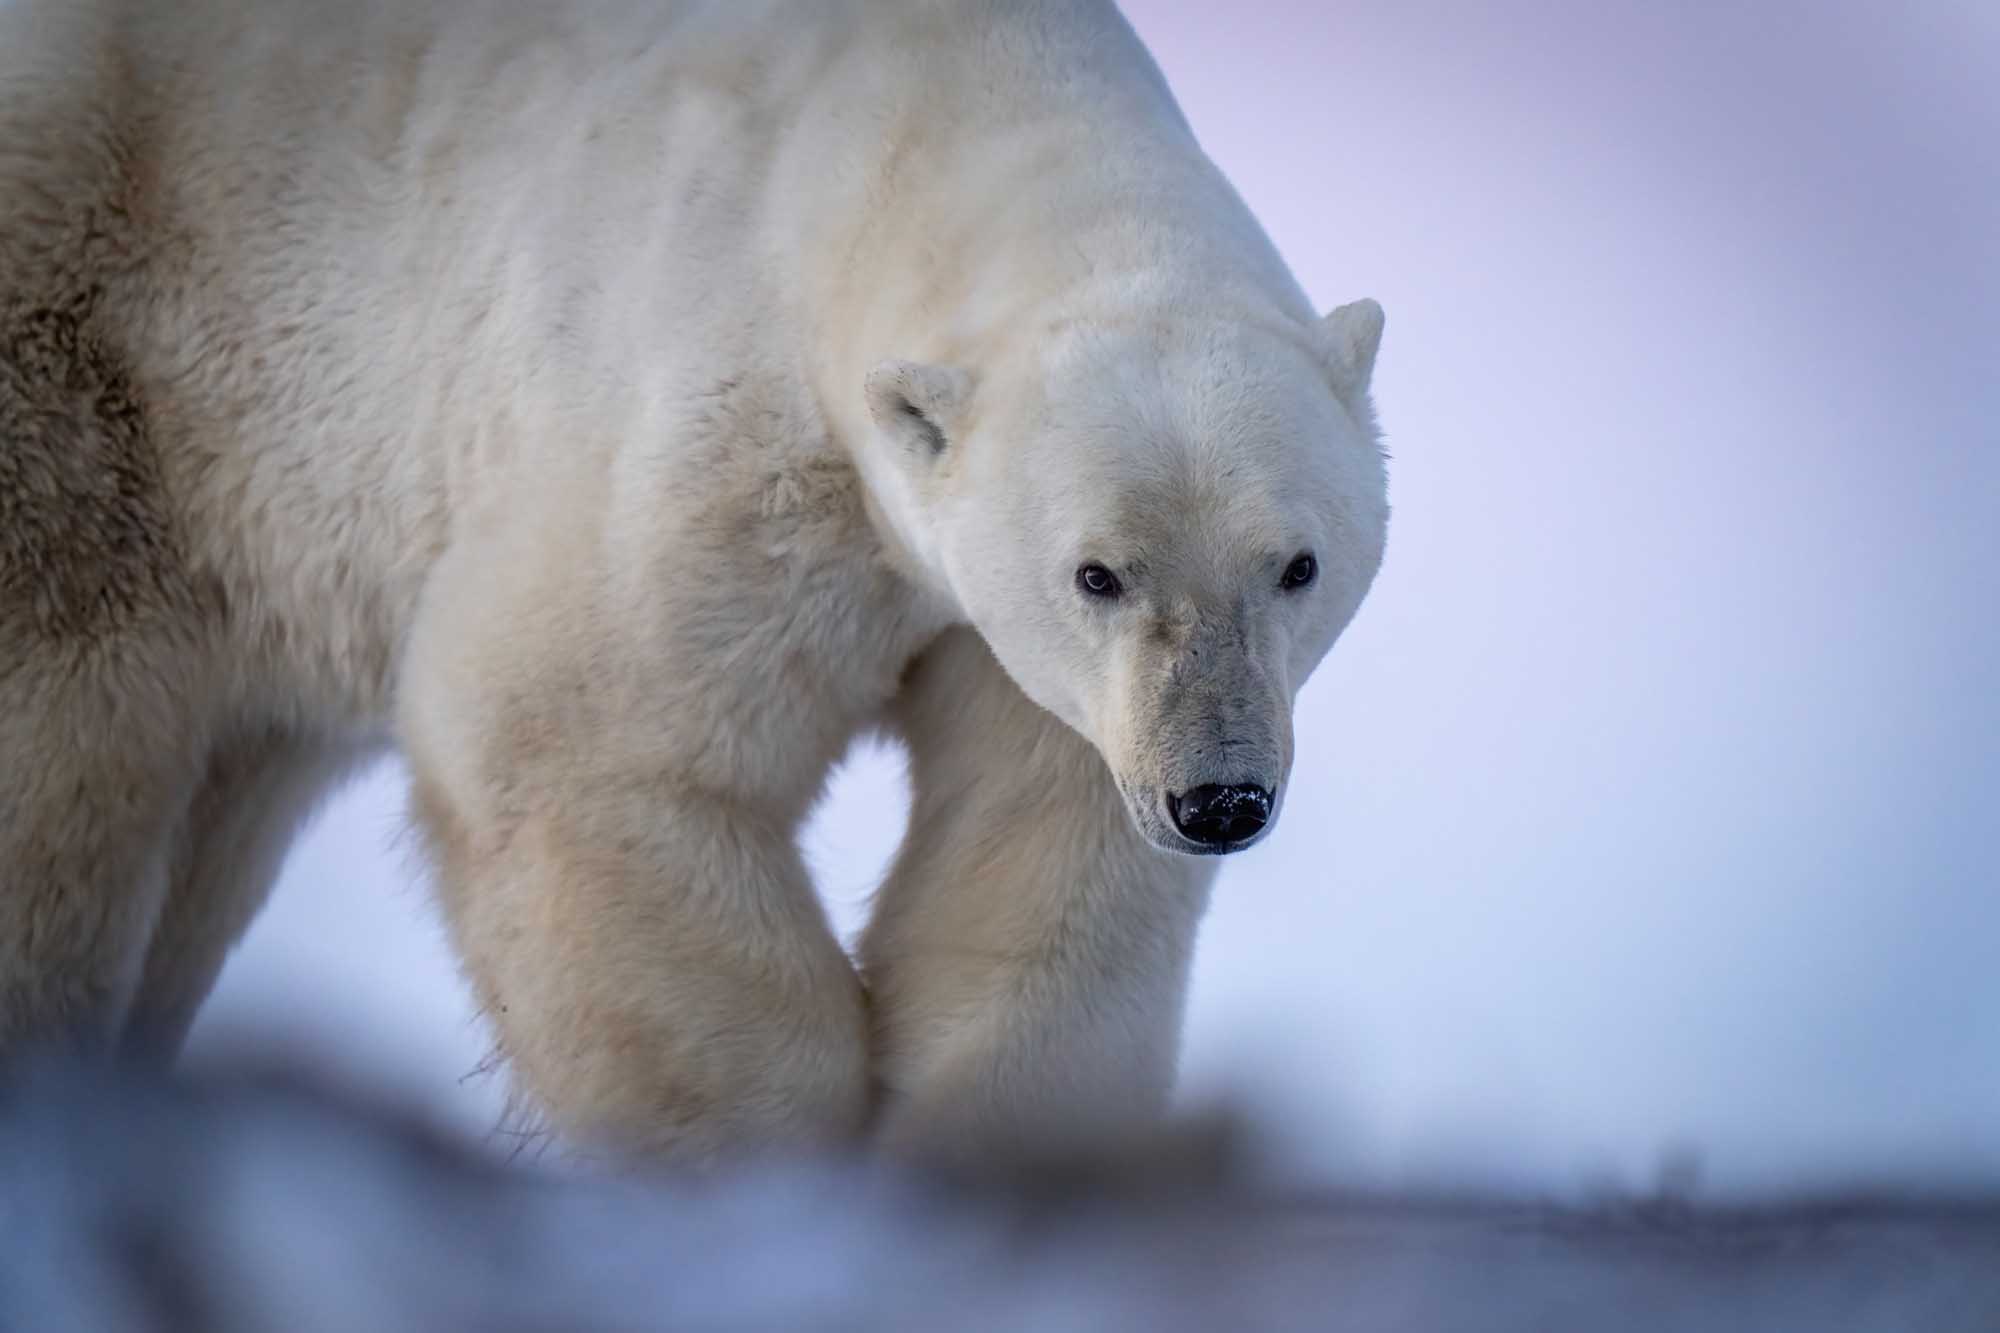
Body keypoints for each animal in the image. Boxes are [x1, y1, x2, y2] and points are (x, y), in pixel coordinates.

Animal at [0, 0, 1390, 1161]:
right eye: (1096, 573)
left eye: (1296, 565)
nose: (1218, 798)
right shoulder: (727, 448)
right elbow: (579, 741)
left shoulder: (1015, 658)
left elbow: (1036, 850)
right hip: (94, 380)